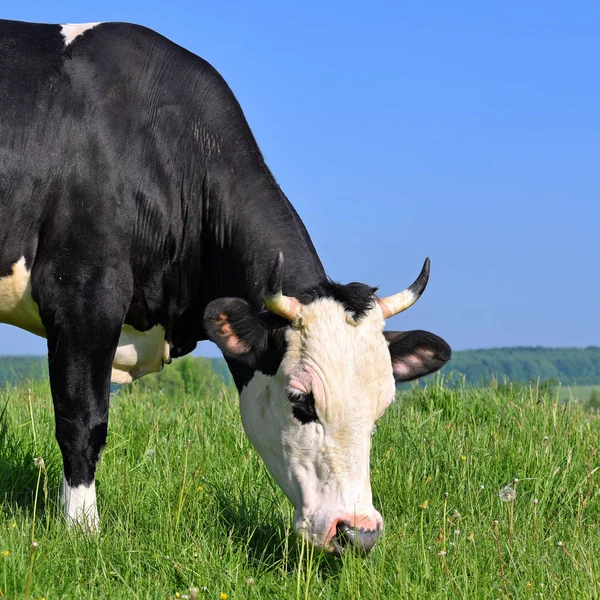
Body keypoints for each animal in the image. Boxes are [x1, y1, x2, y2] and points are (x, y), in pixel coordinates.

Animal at [0, 18, 450, 552]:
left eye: (382, 407)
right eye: (301, 401)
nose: (357, 533)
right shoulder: (82, 295)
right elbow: (82, 420)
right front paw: (83, 533)